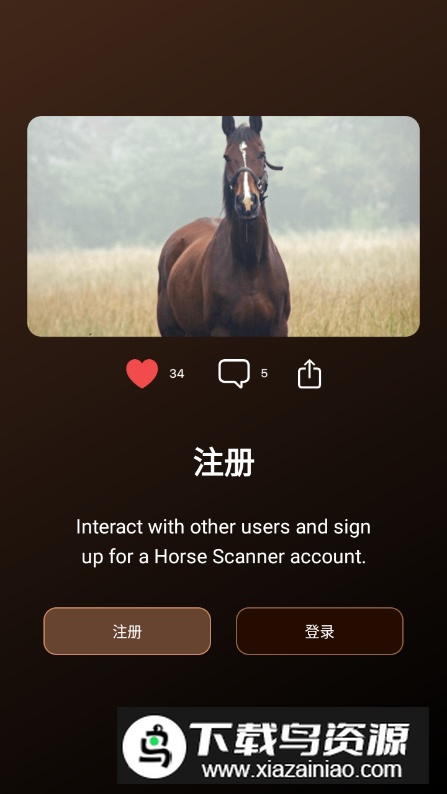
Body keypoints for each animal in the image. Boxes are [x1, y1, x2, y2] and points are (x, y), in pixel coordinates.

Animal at [157, 116, 291, 337]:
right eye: (227, 157)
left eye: (262, 153)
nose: (247, 203)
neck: (250, 266)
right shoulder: (221, 330)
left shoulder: (278, 328)